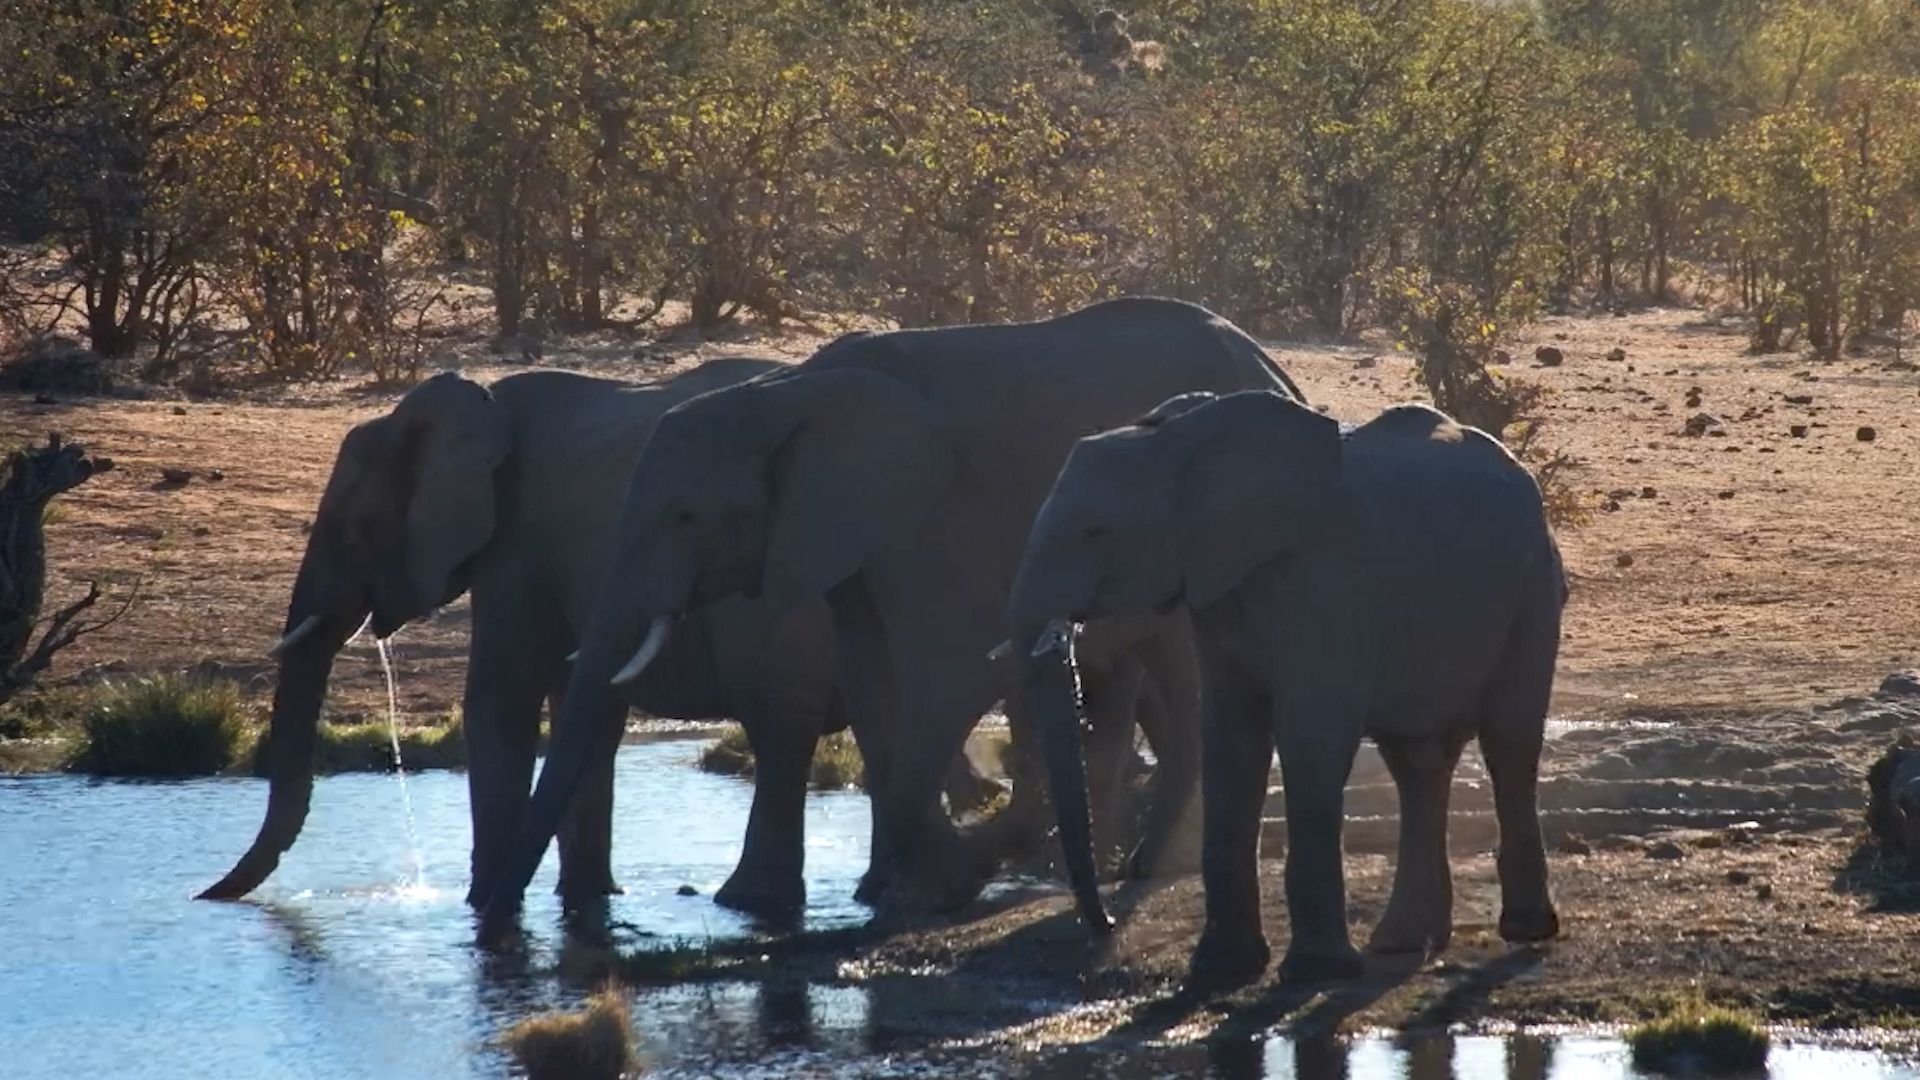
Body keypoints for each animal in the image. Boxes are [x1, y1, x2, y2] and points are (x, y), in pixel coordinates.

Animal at [197, 357, 962, 918]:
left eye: (353, 529)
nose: (204, 896)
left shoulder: (517, 546)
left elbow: (501, 703)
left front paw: (484, 905)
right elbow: (582, 712)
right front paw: (587, 898)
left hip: (783, 599)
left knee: (780, 725)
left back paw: (751, 902)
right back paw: (875, 891)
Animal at [475, 296, 1303, 942]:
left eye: (685, 516)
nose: (494, 916)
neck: (786, 393)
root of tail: (1271, 368)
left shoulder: (927, 513)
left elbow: (954, 668)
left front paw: (940, 881)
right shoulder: (839, 535)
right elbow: (872, 678)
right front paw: (906, 886)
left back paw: (1146, 863)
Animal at [1007, 390, 1565, 988]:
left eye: (1095, 531)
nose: (1109, 925)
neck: (1176, 441)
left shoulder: (1327, 581)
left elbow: (1311, 741)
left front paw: (1316, 972)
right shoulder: (1222, 592)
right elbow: (1230, 740)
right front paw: (1222, 969)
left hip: (1534, 584)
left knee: (1509, 740)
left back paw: (1523, 931)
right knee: (1418, 763)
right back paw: (1402, 942)